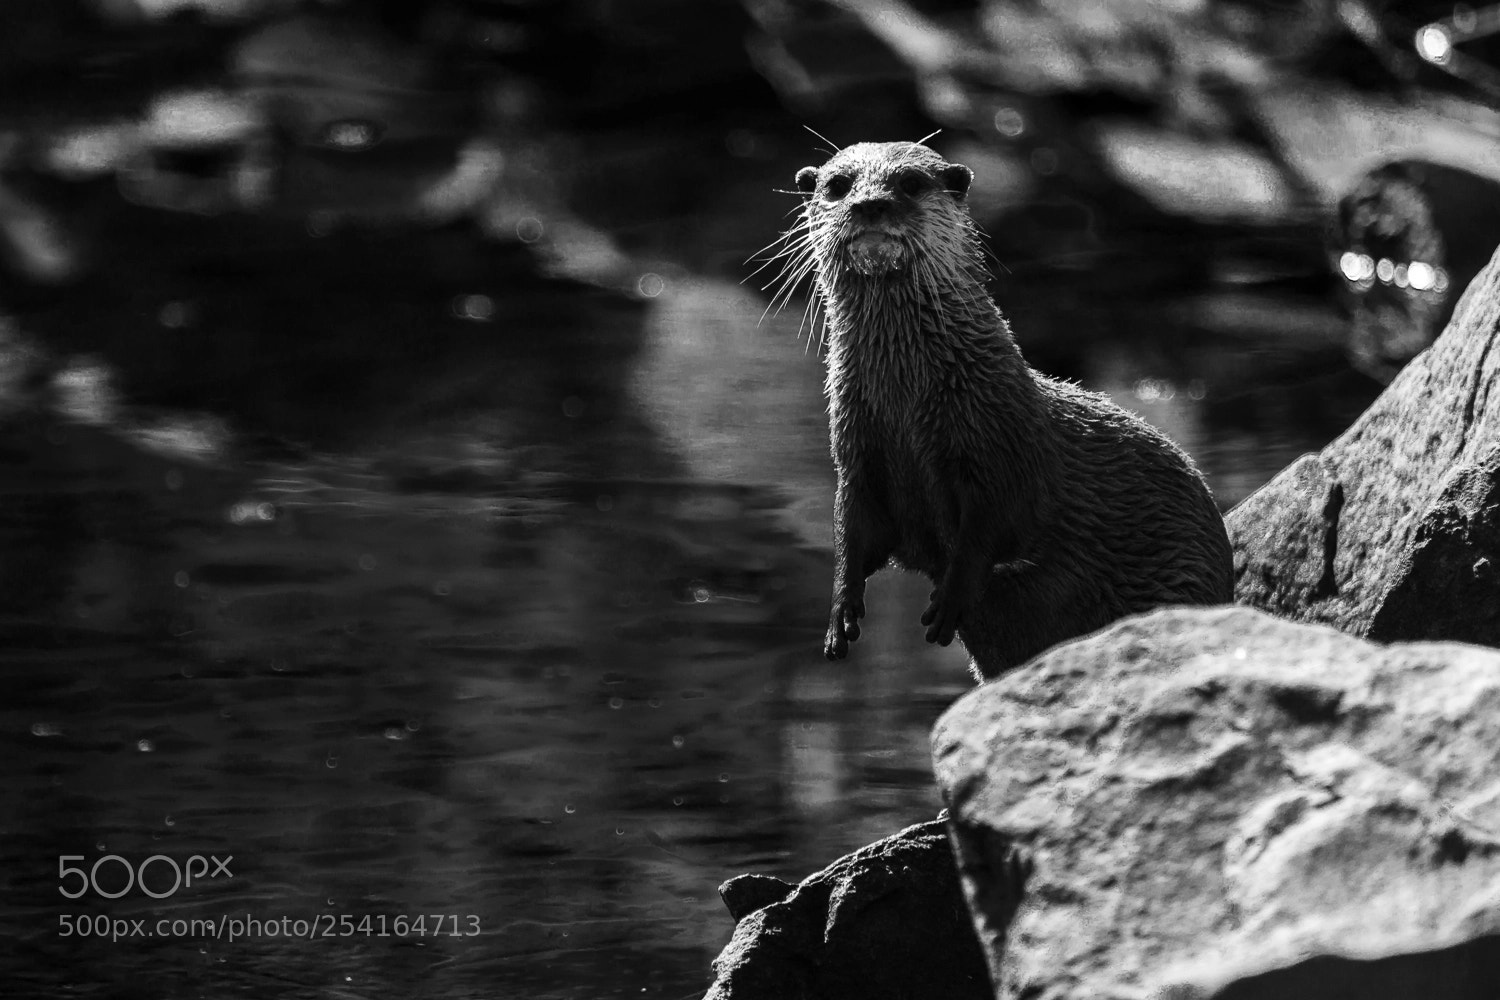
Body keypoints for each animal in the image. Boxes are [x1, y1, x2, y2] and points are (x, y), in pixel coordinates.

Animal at [774, 141, 1233, 679]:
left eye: (910, 182)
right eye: (837, 185)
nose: (870, 205)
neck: (909, 408)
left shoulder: (1000, 451)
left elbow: (990, 530)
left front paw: (950, 599)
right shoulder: (857, 453)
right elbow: (853, 530)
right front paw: (839, 614)